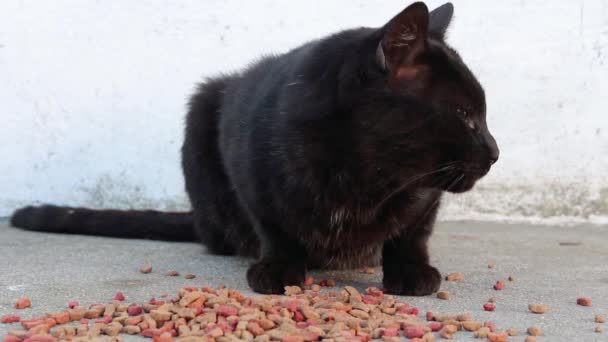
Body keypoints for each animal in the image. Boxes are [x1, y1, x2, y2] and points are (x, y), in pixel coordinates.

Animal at [10, 2, 498, 296]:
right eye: (465, 114)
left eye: (481, 113)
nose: (495, 151)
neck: (369, 174)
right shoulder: (251, 169)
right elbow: (274, 225)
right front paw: (278, 269)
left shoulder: (424, 193)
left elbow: (412, 231)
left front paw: (411, 272)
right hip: (203, 108)